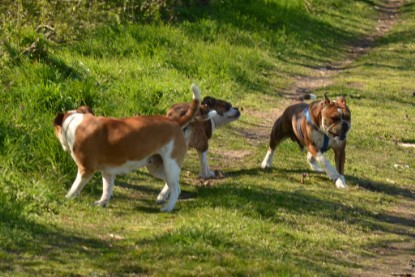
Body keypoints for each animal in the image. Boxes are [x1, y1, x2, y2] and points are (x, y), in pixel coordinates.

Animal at [53, 83, 203, 210]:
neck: (75, 123)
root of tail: (175, 123)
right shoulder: (107, 171)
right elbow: (106, 188)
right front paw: (102, 202)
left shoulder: (86, 169)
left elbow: (75, 186)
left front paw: (67, 197)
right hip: (156, 166)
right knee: (172, 184)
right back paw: (163, 197)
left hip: (171, 163)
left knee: (176, 188)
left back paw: (168, 208)